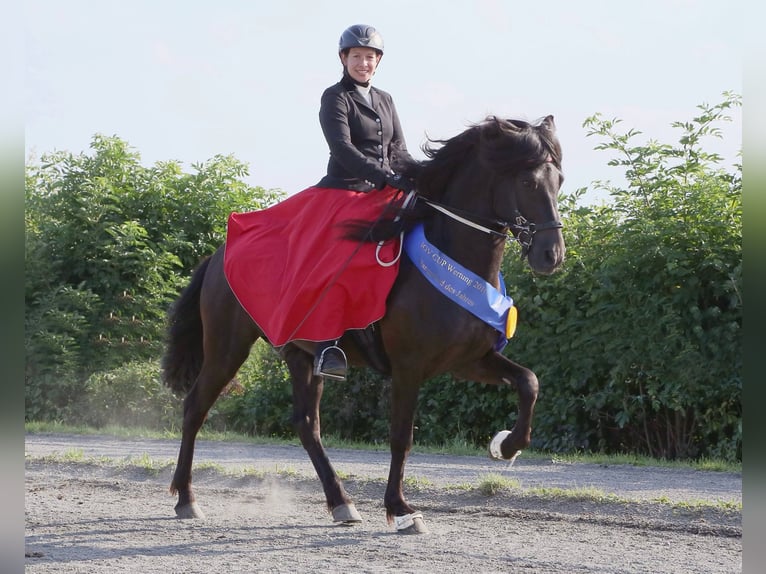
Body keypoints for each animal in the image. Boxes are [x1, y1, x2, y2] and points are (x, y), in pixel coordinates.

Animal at [160, 116, 564, 536]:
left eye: (560, 181)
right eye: (527, 182)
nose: (551, 255)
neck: (453, 253)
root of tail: (219, 252)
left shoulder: (468, 360)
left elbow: (529, 382)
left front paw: (506, 445)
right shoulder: (409, 367)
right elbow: (401, 437)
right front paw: (401, 509)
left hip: (300, 354)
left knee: (307, 425)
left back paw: (342, 503)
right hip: (228, 347)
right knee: (195, 408)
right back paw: (186, 499)